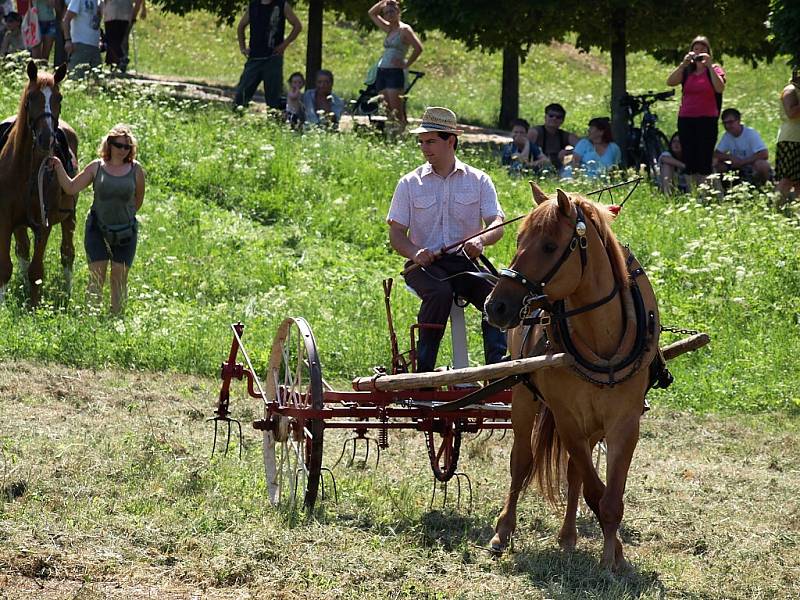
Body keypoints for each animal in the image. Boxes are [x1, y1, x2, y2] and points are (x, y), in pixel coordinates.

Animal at [0, 59, 78, 304]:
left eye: (59, 98)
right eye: (32, 97)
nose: (46, 138)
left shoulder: (44, 223)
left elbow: (37, 271)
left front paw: (35, 306)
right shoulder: (5, 220)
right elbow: (5, 267)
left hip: (69, 217)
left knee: (67, 253)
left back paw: (68, 291)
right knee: (23, 249)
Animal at [482, 184, 664, 572]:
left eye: (550, 246)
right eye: (518, 238)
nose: (496, 306)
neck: (602, 339)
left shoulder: (624, 423)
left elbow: (609, 494)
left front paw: (614, 555)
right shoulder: (566, 418)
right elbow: (596, 491)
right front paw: (612, 552)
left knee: (573, 472)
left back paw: (567, 537)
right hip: (525, 399)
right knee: (522, 462)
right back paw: (503, 531)